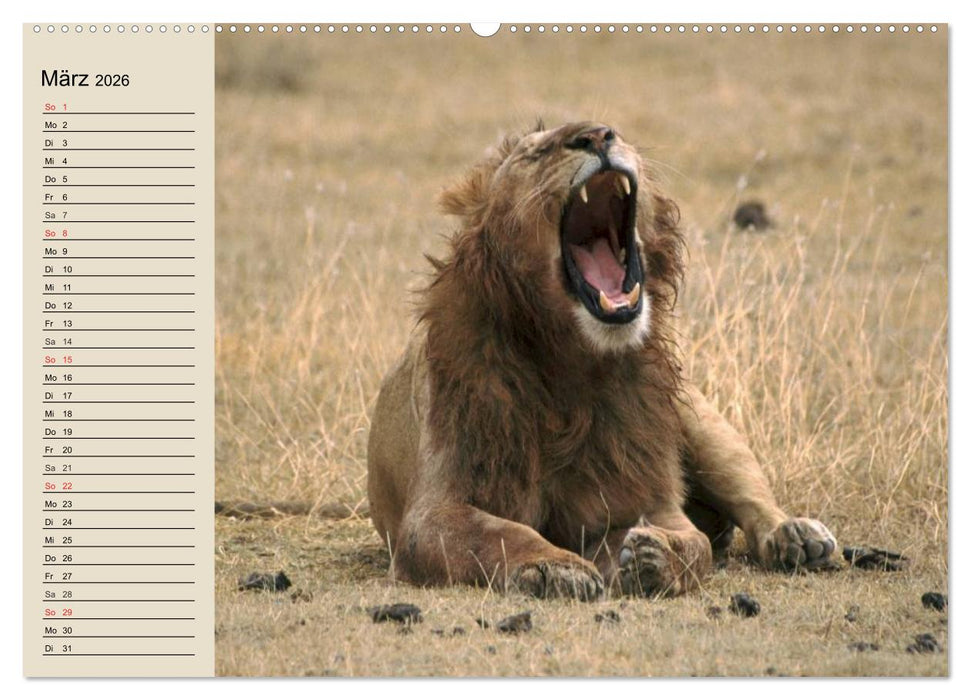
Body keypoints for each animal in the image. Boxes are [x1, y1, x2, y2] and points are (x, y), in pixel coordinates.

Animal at [366, 122, 837, 599]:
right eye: (535, 154)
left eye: (615, 132)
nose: (595, 135)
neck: (573, 361)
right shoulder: (432, 513)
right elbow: (499, 533)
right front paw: (553, 566)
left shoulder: (645, 493)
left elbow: (694, 545)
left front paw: (654, 557)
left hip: (700, 422)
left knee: (751, 497)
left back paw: (796, 536)